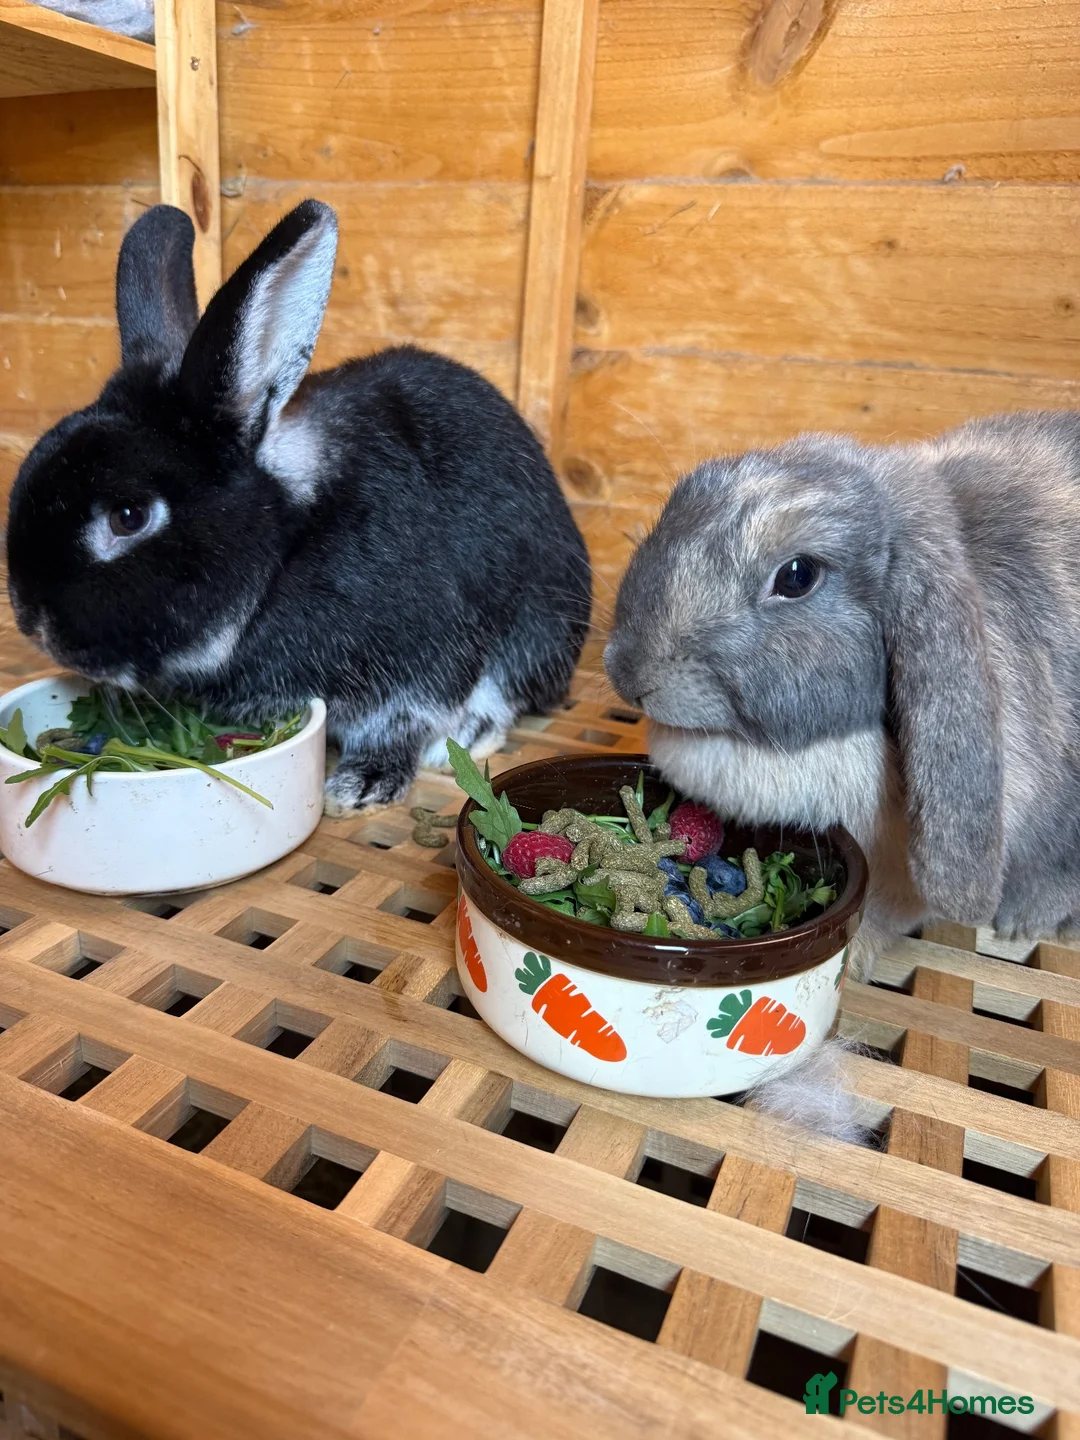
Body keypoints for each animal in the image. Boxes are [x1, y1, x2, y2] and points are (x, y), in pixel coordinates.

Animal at [6, 201, 592, 814]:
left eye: (128, 517)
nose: (32, 623)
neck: (286, 550)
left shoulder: (418, 662)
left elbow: (400, 723)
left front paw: (362, 785)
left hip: (541, 626)